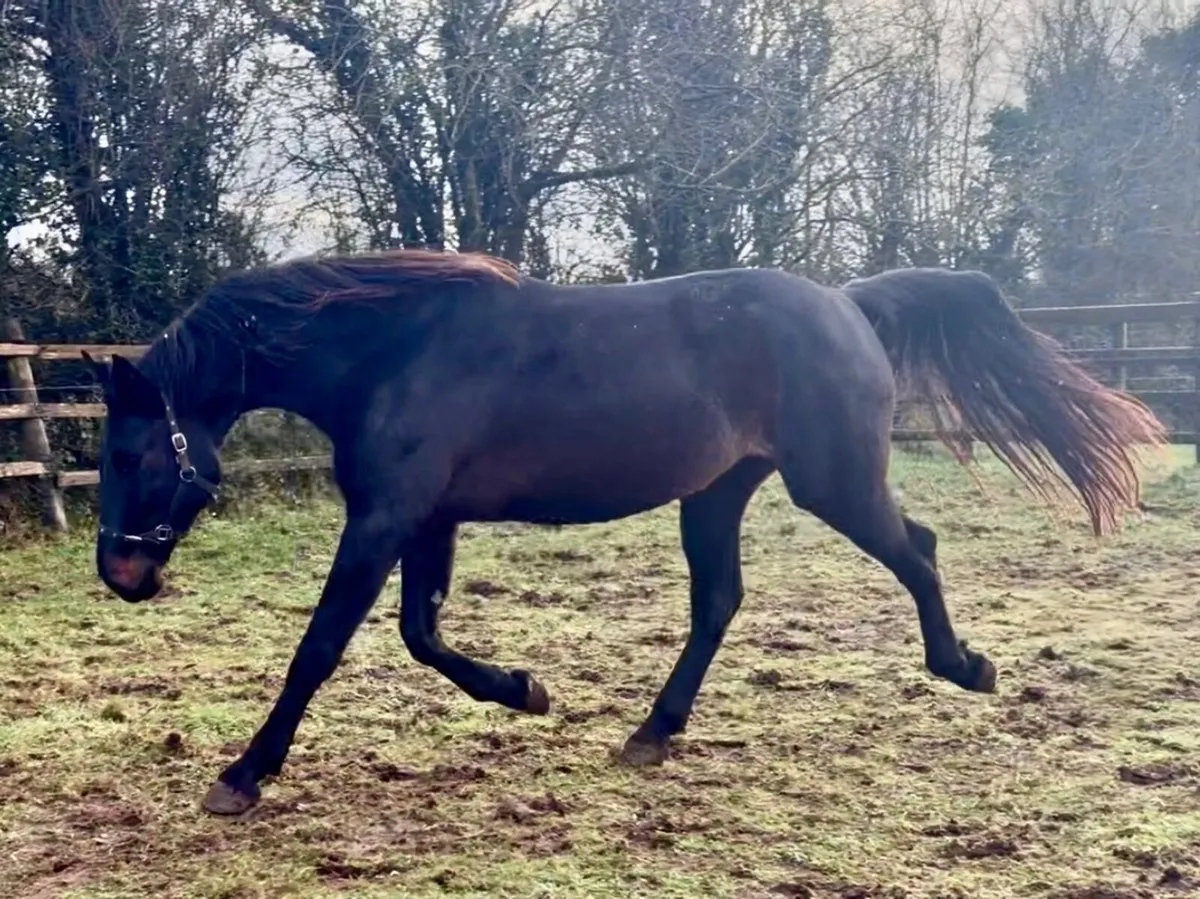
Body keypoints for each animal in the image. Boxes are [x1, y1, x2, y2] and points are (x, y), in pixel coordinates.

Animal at [83, 248, 1166, 815]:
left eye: (132, 452)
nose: (121, 574)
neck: (393, 352)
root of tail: (848, 303)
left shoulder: (386, 517)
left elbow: (321, 646)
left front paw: (241, 774)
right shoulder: (426, 517)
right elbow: (422, 635)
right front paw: (525, 690)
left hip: (832, 483)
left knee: (920, 549)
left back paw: (968, 666)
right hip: (718, 492)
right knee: (720, 599)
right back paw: (652, 730)